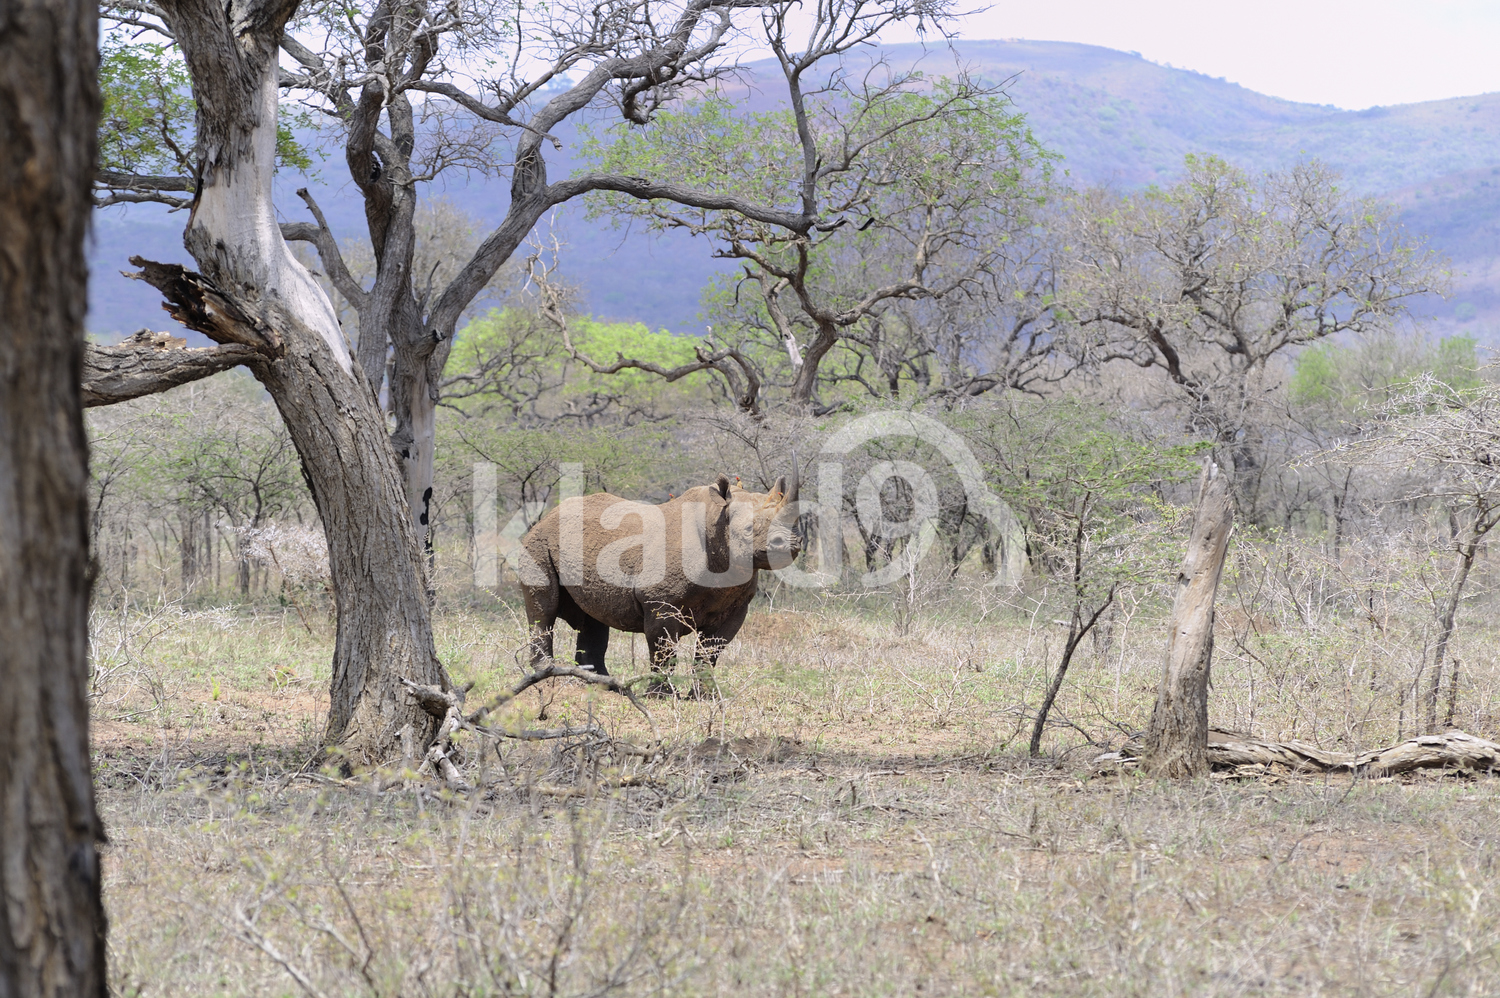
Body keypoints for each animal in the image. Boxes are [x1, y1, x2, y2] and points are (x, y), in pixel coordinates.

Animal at [519, 468, 800, 683]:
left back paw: (599, 681)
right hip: (538, 542)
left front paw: (704, 697)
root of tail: (546, 518)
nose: (790, 545)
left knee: (593, 615)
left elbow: (711, 651)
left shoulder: (735, 606)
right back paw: (549, 675)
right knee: (543, 609)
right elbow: (664, 649)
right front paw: (660, 695)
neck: (716, 522)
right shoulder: (660, 601)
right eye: (748, 529)